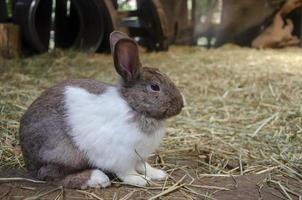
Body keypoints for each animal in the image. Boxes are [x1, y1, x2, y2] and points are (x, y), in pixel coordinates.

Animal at [20, 30, 184, 188]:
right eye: (155, 87)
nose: (181, 105)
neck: (133, 106)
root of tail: (27, 157)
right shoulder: (121, 157)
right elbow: (127, 173)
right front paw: (141, 180)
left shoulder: (139, 156)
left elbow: (144, 166)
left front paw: (158, 174)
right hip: (65, 154)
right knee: (51, 175)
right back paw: (98, 179)